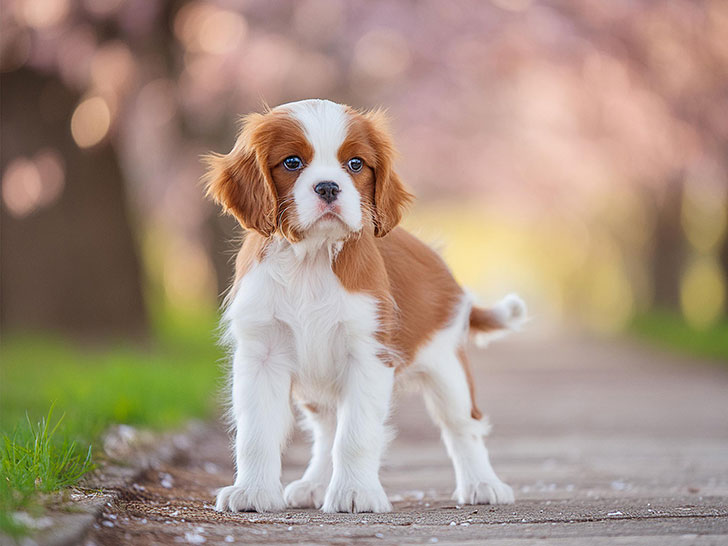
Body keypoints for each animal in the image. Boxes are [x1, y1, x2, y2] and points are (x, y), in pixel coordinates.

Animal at [205, 100, 524, 512]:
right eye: (292, 162)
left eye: (355, 164)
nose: (328, 186)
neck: (312, 259)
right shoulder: (261, 354)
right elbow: (256, 433)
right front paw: (253, 492)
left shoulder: (368, 354)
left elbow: (355, 435)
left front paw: (355, 492)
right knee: (326, 429)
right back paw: (314, 485)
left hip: (447, 368)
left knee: (462, 425)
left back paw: (483, 484)